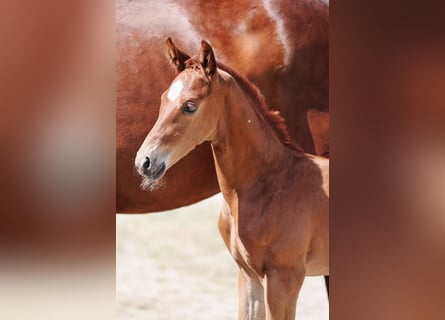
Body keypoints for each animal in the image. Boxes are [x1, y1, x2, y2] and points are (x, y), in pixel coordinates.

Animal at [136, 38, 330, 318]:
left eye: (190, 106)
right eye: (163, 99)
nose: (145, 161)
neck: (272, 181)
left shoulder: (285, 277)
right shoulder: (248, 275)